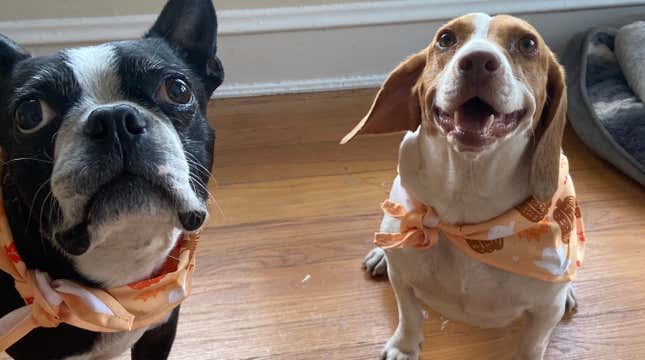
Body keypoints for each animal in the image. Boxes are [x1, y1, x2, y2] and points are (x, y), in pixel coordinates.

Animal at [342, 12, 572, 358]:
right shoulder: (403, 279)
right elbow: (409, 315)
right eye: (446, 38)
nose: (477, 61)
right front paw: (404, 347)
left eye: (528, 43)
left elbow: (531, 345)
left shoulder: (545, 312)